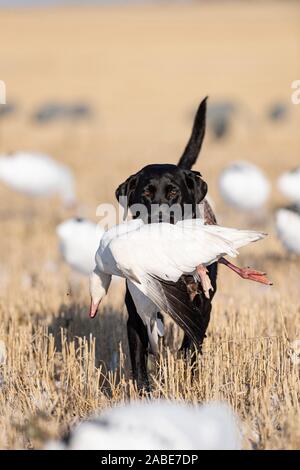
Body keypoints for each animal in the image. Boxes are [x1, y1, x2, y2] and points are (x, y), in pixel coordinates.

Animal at [116, 98, 217, 390]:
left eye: (173, 192)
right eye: (146, 194)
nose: (160, 217)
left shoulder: (202, 305)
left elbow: (193, 343)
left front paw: (192, 380)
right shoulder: (135, 314)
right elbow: (138, 360)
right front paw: (143, 391)